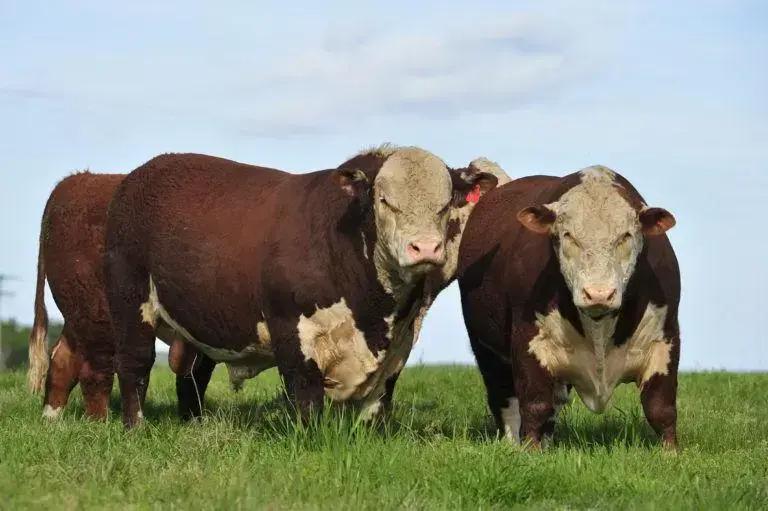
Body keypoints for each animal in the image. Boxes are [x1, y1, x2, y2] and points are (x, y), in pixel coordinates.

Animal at [28, 172, 200, 420]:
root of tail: (74, 180)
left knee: (63, 360)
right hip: (101, 314)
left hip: (80, 311)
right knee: (96, 369)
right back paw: (101, 422)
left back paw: (52, 418)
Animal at [103, 146, 498, 426]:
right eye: (385, 200)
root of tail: (145, 172)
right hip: (130, 302)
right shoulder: (291, 330)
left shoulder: (398, 344)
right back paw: (135, 427)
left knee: (193, 376)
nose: (426, 248)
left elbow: (379, 401)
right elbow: (305, 397)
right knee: (135, 366)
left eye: (445, 205)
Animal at [456, 166, 680, 450]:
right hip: (486, 350)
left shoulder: (665, 340)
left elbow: (661, 408)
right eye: (568, 235)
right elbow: (535, 404)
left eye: (626, 236)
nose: (598, 293)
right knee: (505, 400)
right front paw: (530, 451)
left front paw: (670, 452)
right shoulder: (529, 343)